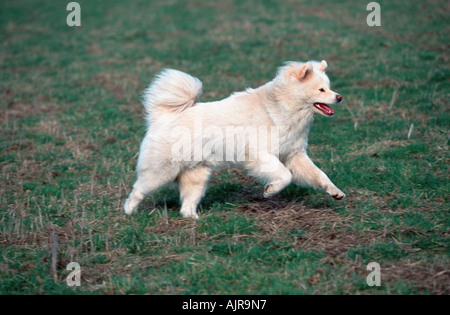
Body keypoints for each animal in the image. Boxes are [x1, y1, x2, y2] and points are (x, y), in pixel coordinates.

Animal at [123, 60, 344, 218]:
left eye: (329, 87)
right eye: (321, 90)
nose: (339, 97)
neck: (283, 106)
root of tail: (163, 117)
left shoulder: (294, 155)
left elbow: (320, 175)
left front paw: (335, 192)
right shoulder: (261, 155)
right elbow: (285, 176)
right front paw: (270, 191)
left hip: (197, 176)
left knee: (186, 205)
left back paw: (195, 219)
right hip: (161, 172)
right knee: (138, 190)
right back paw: (129, 211)